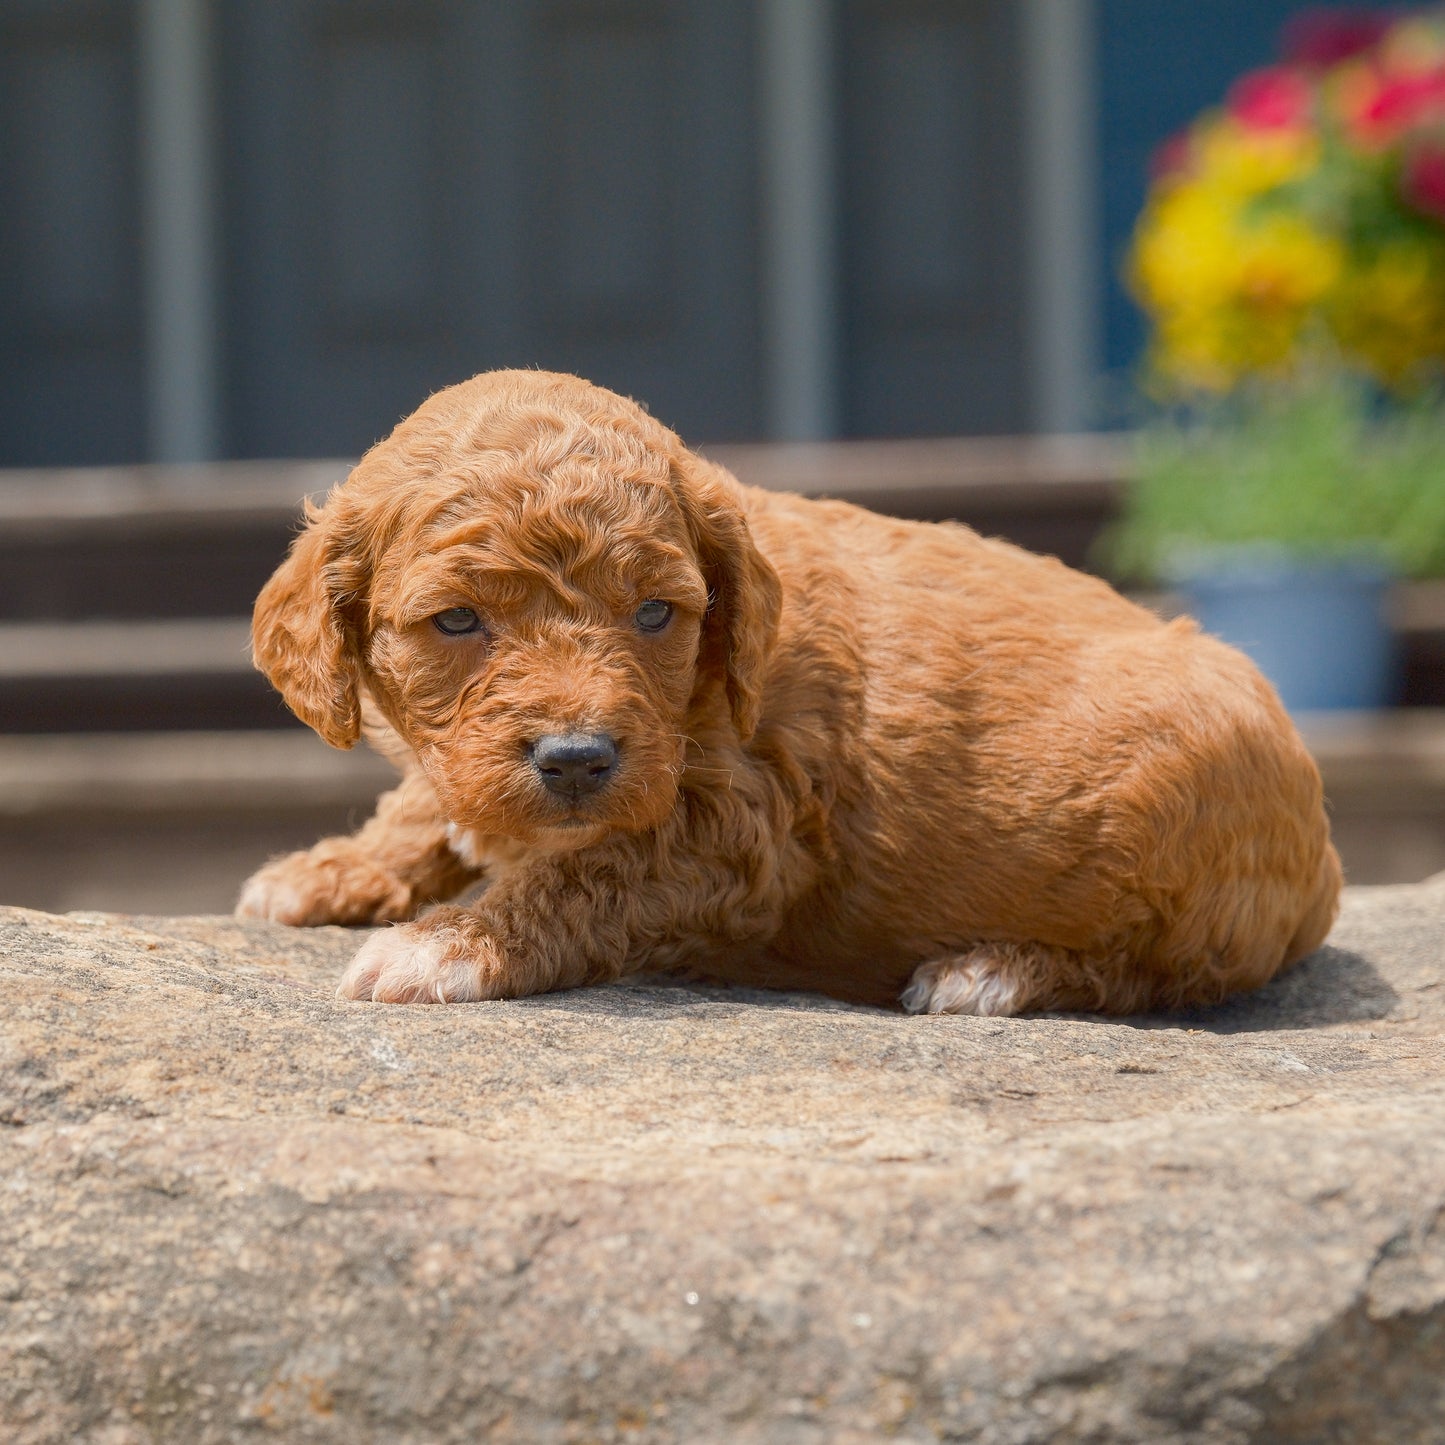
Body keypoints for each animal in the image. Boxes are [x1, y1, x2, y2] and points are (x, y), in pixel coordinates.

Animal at [231, 367, 1335, 1011]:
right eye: (457, 621)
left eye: (655, 613)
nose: (578, 760)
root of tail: (1322, 857)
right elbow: (429, 799)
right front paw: (335, 866)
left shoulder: (739, 830)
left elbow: (583, 875)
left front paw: (448, 944)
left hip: (1185, 835)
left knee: (1157, 972)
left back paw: (993, 971)